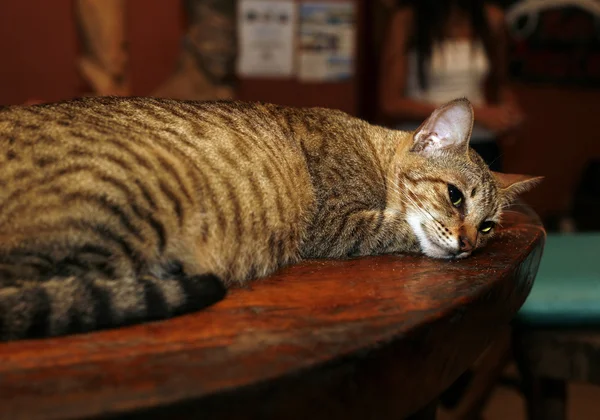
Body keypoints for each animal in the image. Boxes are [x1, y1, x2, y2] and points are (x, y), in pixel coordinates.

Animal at [0, 96, 540, 342]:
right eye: (454, 197)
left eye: (488, 227)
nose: (469, 245)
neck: (370, 149)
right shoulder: (334, 222)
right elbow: (395, 226)